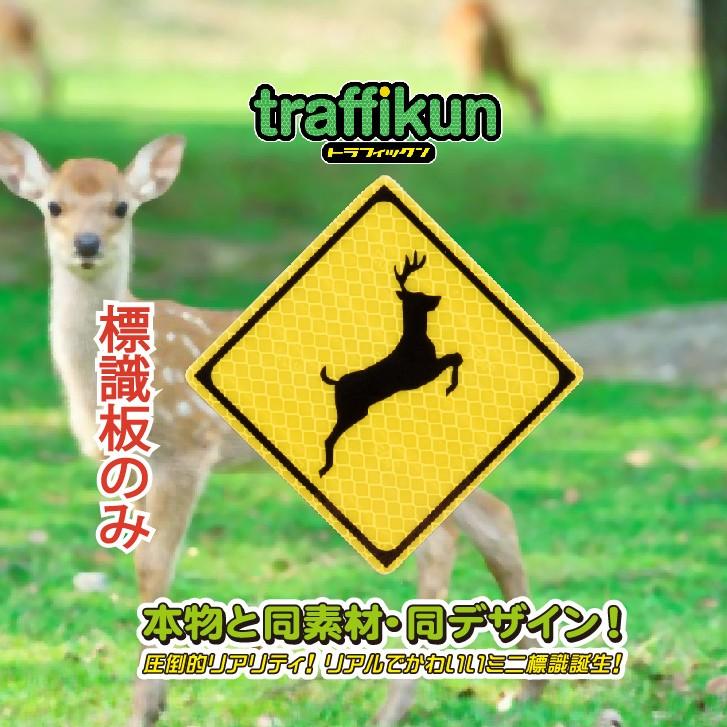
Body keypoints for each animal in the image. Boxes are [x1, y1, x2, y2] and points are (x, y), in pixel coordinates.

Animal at [319, 252, 463, 477]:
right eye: (419, 296)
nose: (437, 298)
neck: (416, 339)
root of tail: (335, 383)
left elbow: (456, 357)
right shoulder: (423, 373)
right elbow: (454, 358)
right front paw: (450, 387)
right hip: (351, 411)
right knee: (329, 438)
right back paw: (325, 469)